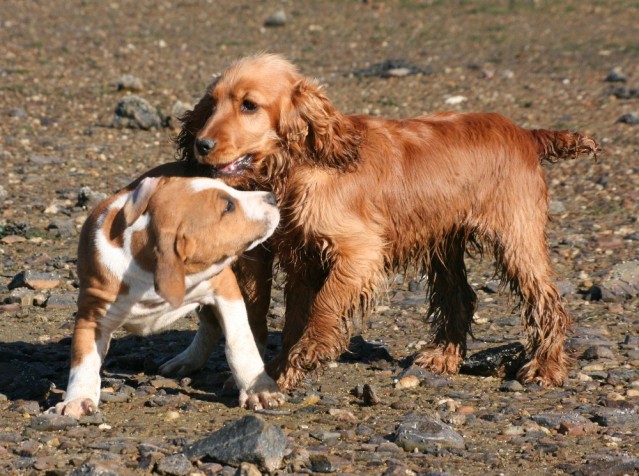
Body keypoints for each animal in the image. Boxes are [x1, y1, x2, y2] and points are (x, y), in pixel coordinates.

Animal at [47, 175, 282, 416]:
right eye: (228, 206)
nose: (272, 197)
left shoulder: (224, 286)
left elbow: (239, 342)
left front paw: (259, 389)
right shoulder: (91, 314)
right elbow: (83, 359)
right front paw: (78, 399)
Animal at [176, 54, 600, 392]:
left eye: (249, 105)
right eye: (212, 103)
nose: (201, 144)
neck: (301, 167)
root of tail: (525, 133)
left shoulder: (359, 251)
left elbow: (324, 305)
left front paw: (309, 353)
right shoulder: (292, 255)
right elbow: (275, 312)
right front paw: (275, 369)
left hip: (516, 237)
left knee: (547, 301)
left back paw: (545, 368)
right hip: (443, 241)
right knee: (459, 296)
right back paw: (443, 357)